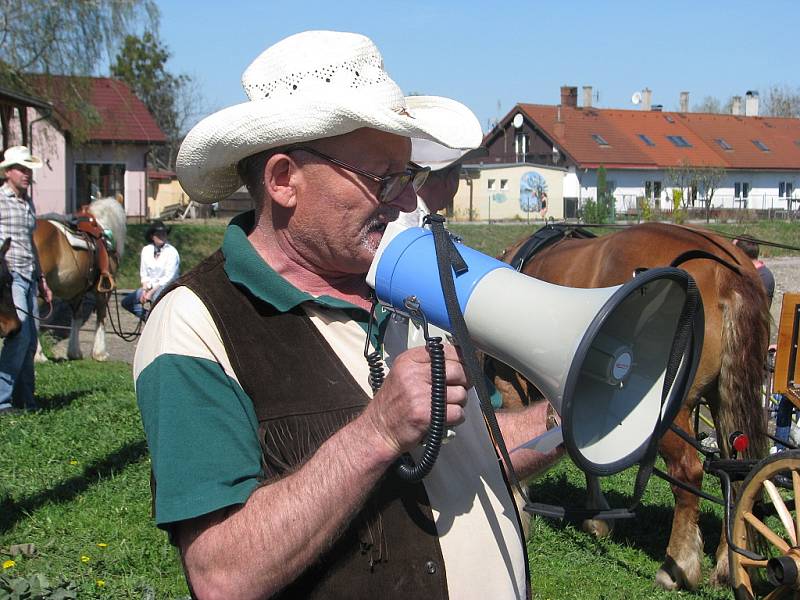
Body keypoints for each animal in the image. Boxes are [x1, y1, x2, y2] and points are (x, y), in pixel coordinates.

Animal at [33, 197, 126, 360]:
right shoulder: (104, 290)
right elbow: (101, 316)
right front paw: (99, 353)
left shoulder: (77, 292)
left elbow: (77, 317)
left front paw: (74, 351)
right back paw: (38, 355)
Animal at [496, 221, 772, 592]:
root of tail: (725, 270)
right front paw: (596, 518)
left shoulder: (507, 381)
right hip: (724, 400)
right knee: (740, 474)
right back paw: (727, 566)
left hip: (671, 410)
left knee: (688, 472)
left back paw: (678, 565)